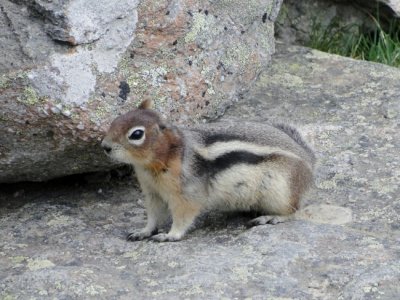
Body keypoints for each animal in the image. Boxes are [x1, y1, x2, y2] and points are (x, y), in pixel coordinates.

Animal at [101, 100, 314, 241]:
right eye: (115, 120)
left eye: (136, 134)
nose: (104, 146)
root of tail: (308, 160)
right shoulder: (153, 194)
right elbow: (153, 216)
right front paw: (143, 231)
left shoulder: (186, 196)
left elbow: (183, 217)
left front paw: (170, 235)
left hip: (280, 190)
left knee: (293, 210)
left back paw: (271, 217)